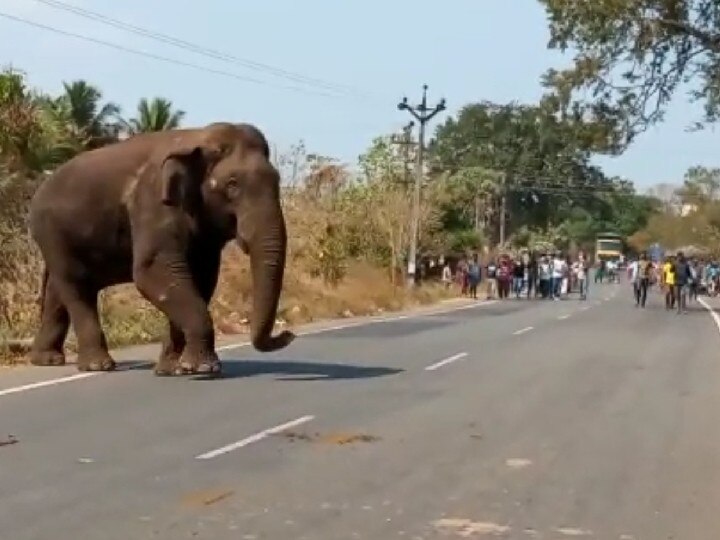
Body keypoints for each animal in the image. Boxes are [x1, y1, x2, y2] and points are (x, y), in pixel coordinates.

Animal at [26, 122, 294, 376]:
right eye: (232, 185)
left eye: (278, 181)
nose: (288, 334)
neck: (198, 136)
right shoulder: (153, 202)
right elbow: (154, 272)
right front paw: (204, 368)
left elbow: (202, 278)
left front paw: (173, 369)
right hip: (51, 234)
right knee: (76, 285)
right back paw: (97, 365)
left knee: (57, 289)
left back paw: (47, 360)